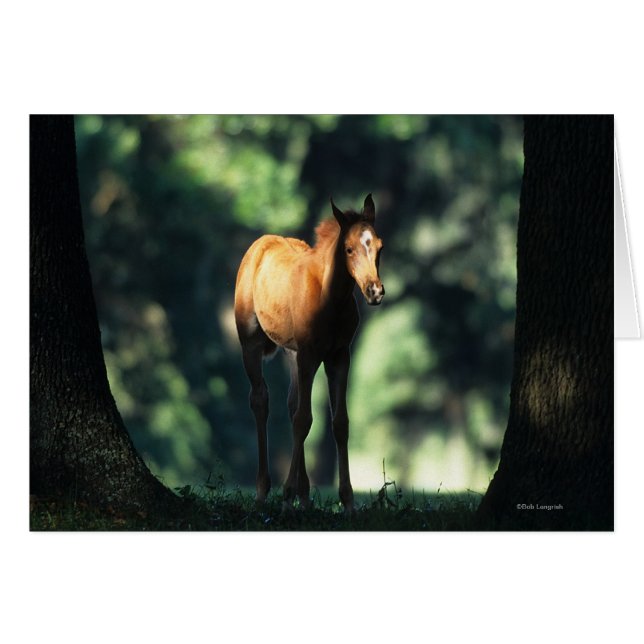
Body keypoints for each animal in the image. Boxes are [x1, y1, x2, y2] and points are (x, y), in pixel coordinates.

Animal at [234, 194, 385, 513]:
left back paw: (304, 497)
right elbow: (304, 420)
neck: (331, 299)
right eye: (349, 248)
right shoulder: (309, 354)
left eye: (379, 246)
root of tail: (259, 244)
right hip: (251, 344)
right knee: (261, 400)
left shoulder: (339, 356)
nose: (375, 291)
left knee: (292, 405)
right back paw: (264, 492)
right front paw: (286, 495)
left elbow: (339, 422)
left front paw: (348, 502)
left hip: (292, 353)